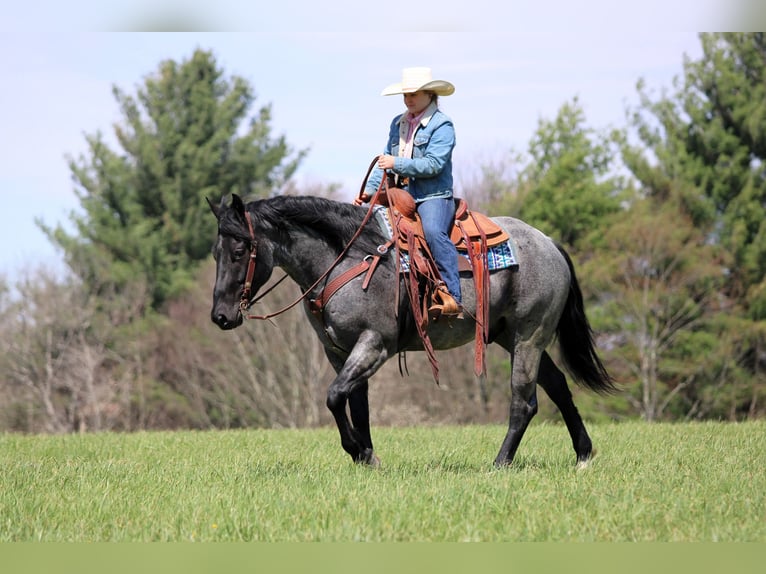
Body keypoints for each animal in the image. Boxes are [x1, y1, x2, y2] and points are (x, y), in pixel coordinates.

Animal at [208, 192, 616, 468]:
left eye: (240, 250)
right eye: (216, 252)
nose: (221, 316)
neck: (347, 258)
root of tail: (549, 244)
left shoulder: (375, 344)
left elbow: (335, 396)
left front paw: (357, 451)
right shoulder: (339, 352)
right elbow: (356, 404)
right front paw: (367, 457)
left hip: (529, 337)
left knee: (524, 401)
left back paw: (500, 463)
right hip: (511, 337)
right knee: (558, 386)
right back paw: (583, 455)